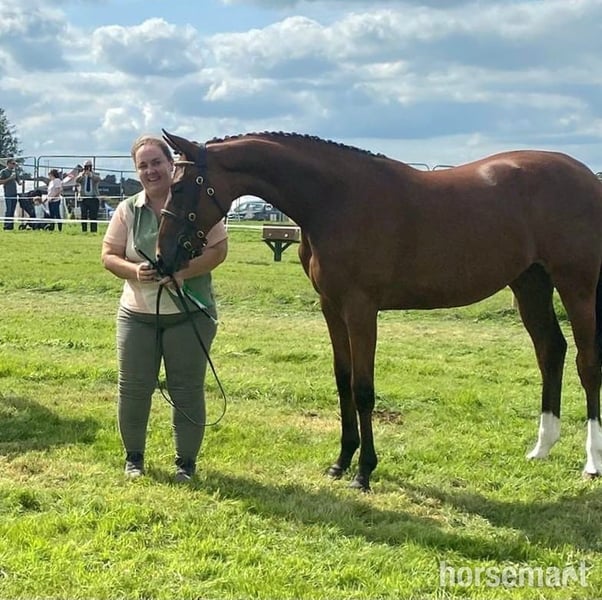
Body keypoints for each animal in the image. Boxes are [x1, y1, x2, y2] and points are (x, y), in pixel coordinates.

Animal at [156, 129, 602, 491]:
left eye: (179, 188)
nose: (162, 257)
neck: (335, 199)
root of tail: (586, 177)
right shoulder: (331, 307)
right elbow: (342, 382)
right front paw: (340, 462)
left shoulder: (360, 309)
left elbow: (363, 389)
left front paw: (364, 471)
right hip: (531, 283)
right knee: (550, 351)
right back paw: (542, 447)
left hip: (577, 287)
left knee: (587, 363)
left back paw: (591, 462)